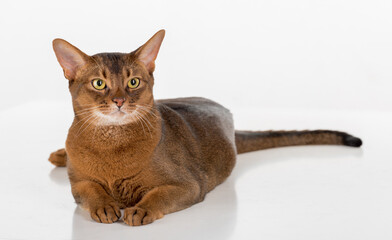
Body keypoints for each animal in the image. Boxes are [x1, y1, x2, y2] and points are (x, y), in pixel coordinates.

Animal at [49, 29, 364, 226]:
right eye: (99, 83)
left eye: (133, 82)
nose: (119, 101)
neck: (111, 143)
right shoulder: (79, 183)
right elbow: (90, 190)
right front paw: (104, 206)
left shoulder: (189, 185)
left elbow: (158, 195)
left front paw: (140, 209)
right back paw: (59, 155)